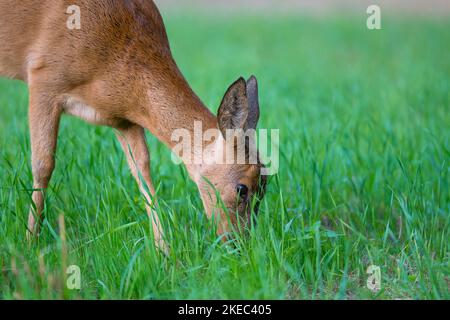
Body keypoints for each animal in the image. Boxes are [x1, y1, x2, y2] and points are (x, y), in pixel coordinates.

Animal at [0, 0, 266, 250]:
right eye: (242, 188)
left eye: (265, 186)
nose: (238, 245)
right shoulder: (43, 78)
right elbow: (43, 165)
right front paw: (30, 243)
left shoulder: (123, 119)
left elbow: (143, 173)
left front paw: (164, 251)